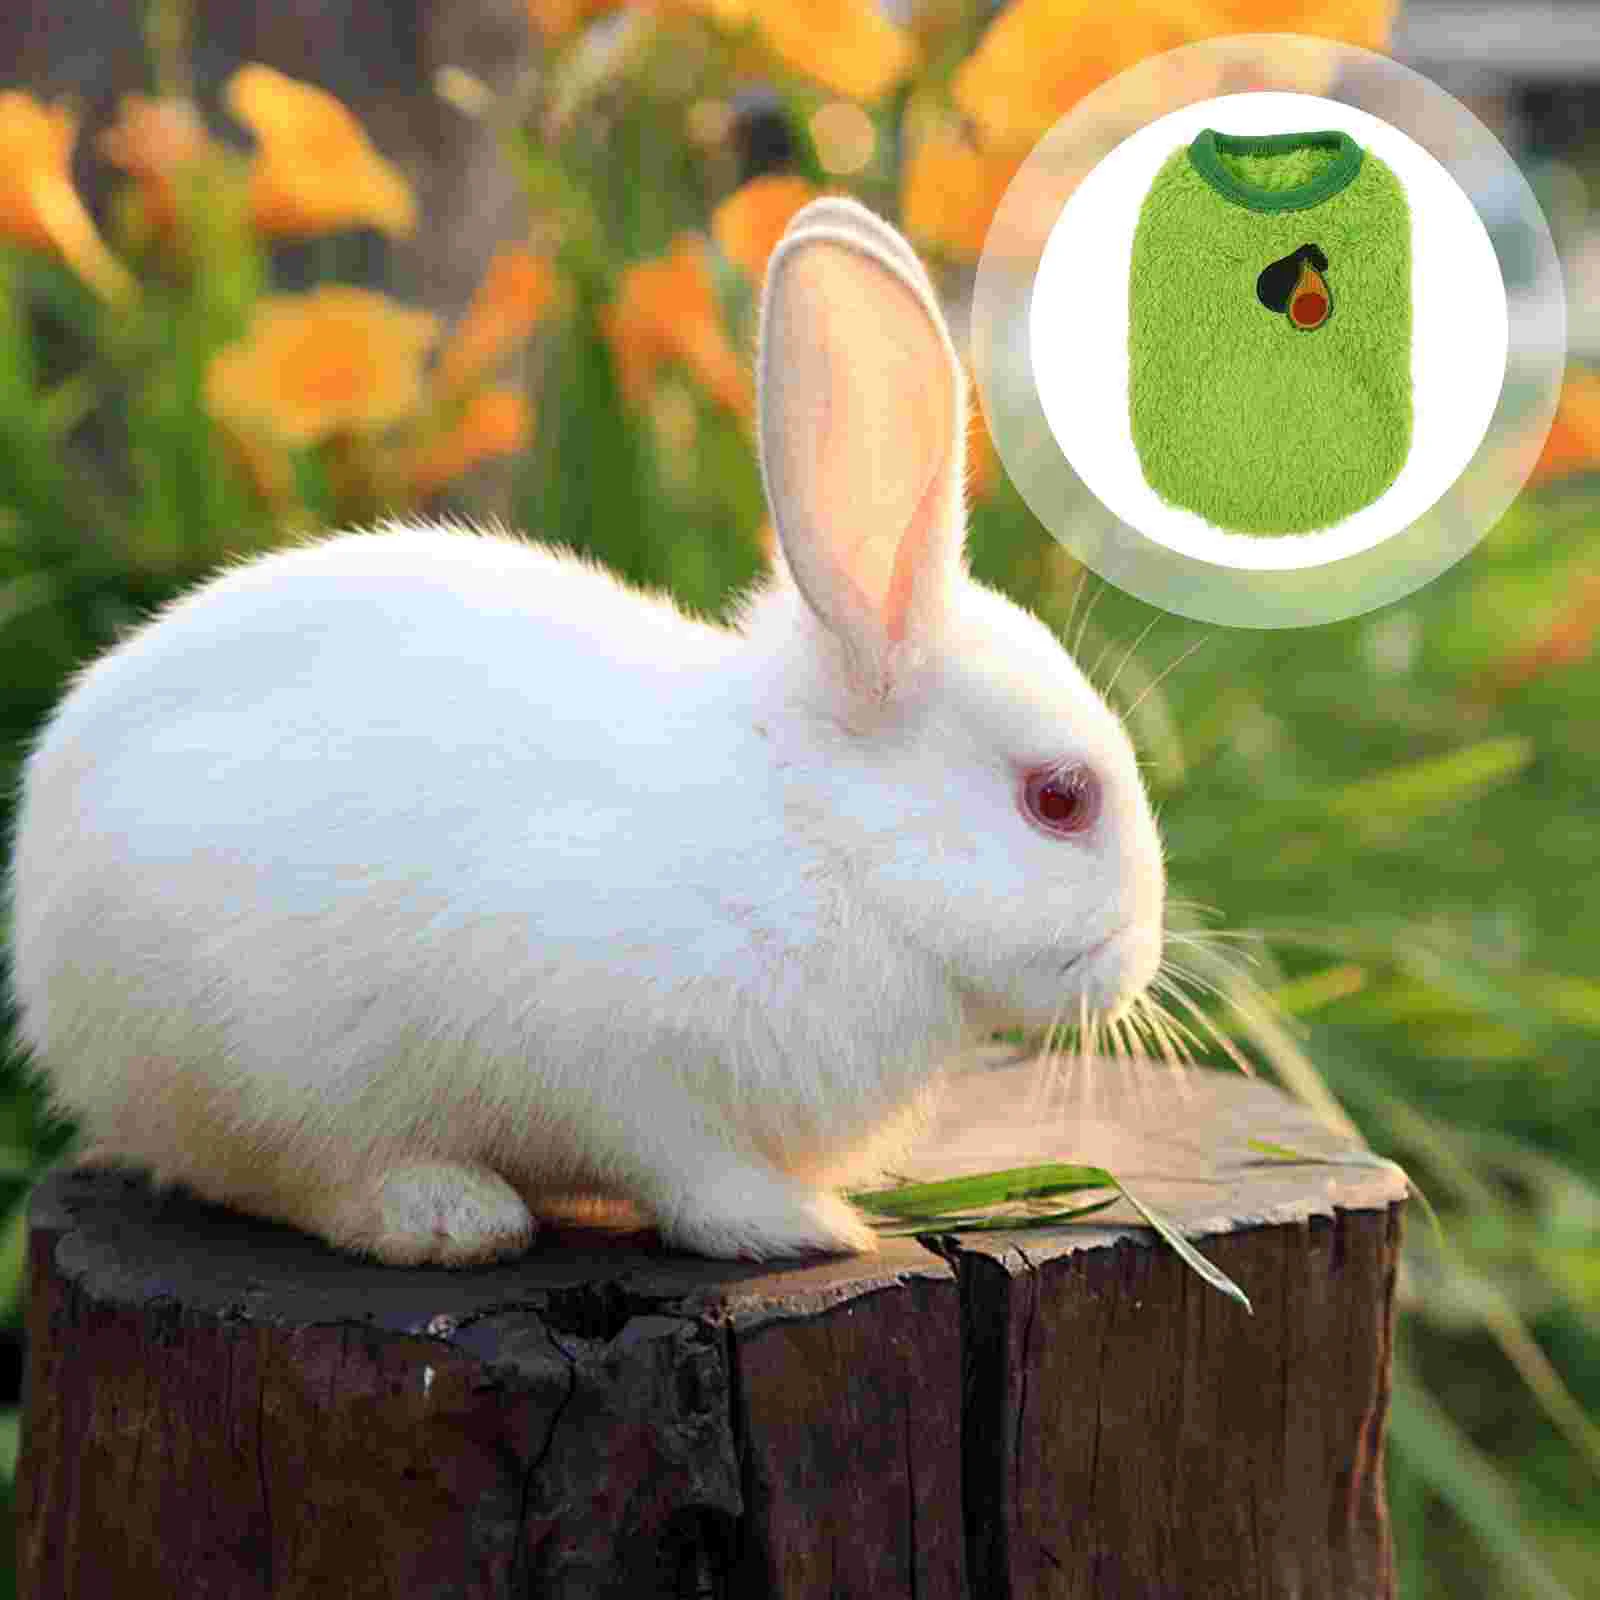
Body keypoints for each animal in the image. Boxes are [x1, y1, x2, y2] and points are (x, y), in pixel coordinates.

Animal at [4, 198, 1166, 1266]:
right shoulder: (624, 1067)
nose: (1138, 965)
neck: (823, 837)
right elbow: (688, 1172)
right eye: (1059, 799)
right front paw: (805, 1226)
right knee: (282, 1174)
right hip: (254, 1057)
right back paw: (450, 1216)